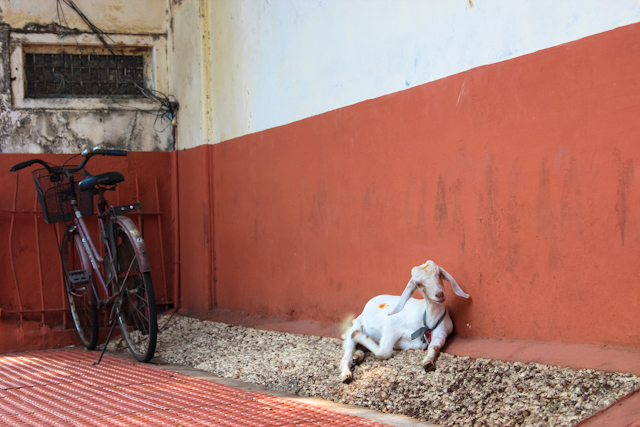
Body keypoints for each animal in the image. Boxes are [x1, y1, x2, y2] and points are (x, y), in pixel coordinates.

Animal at [340, 260, 470, 384]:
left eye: (439, 274)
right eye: (418, 284)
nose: (439, 294)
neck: (426, 321)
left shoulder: (441, 334)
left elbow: (434, 347)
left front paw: (428, 362)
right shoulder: (391, 328)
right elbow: (384, 352)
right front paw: (359, 337)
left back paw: (357, 356)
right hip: (356, 325)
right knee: (347, 354)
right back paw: (346, 374)